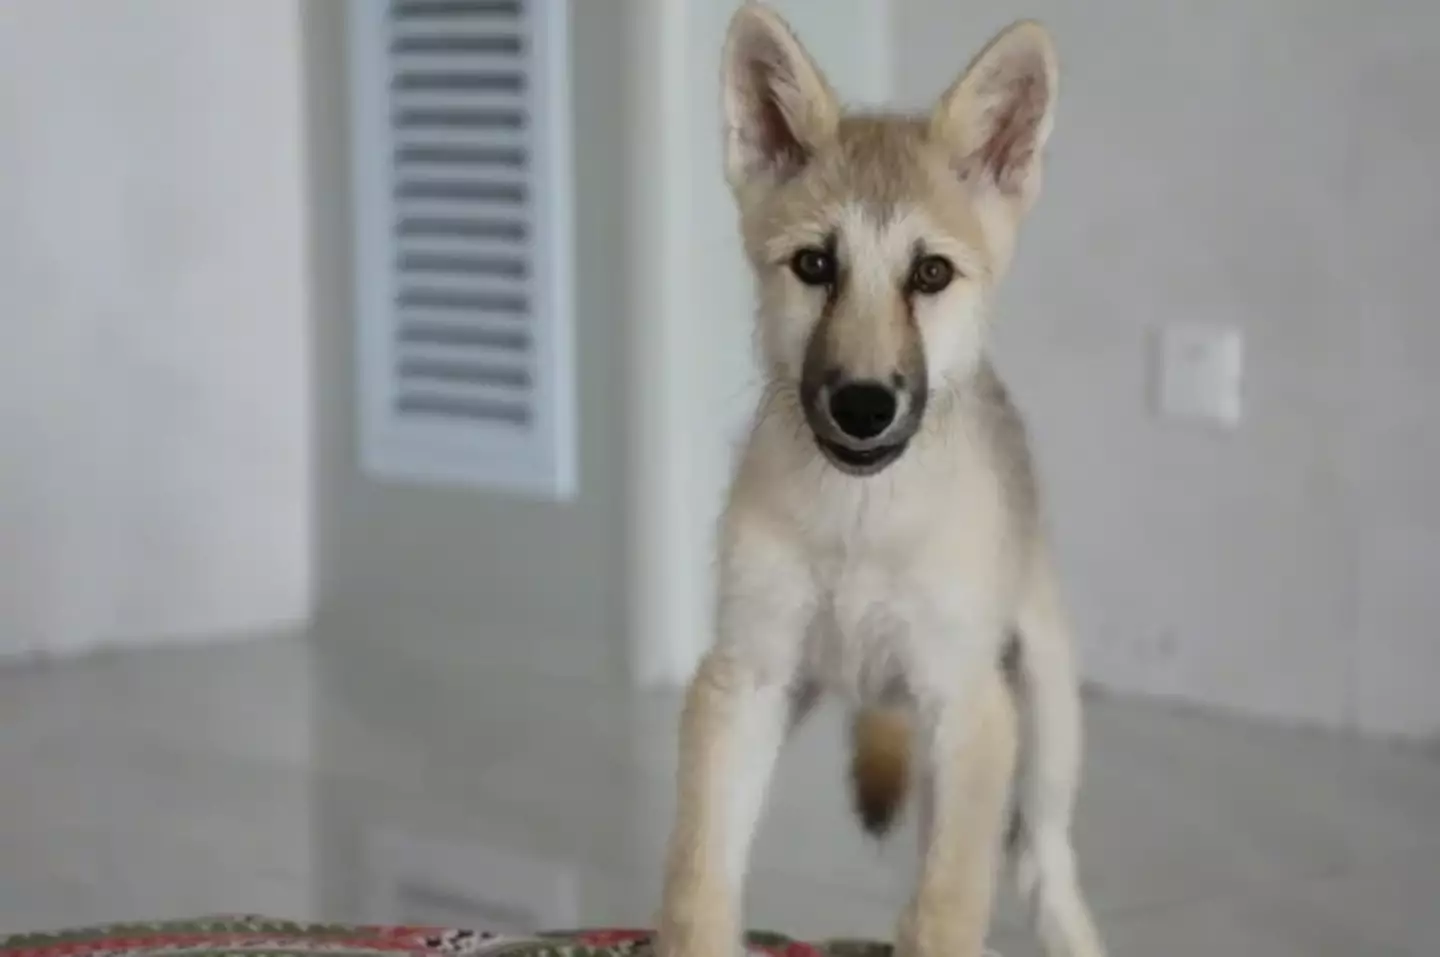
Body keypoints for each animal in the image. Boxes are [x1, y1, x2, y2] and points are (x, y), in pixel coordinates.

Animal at [655, 6, 1106, 957]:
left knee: (1039, 862)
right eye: (815, 267)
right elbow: (697, 883)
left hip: (1041, 711)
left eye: (930, 273)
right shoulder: (744, 680)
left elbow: (946, 910)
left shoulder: (968, 703)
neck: (860, 521)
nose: (863, 407)